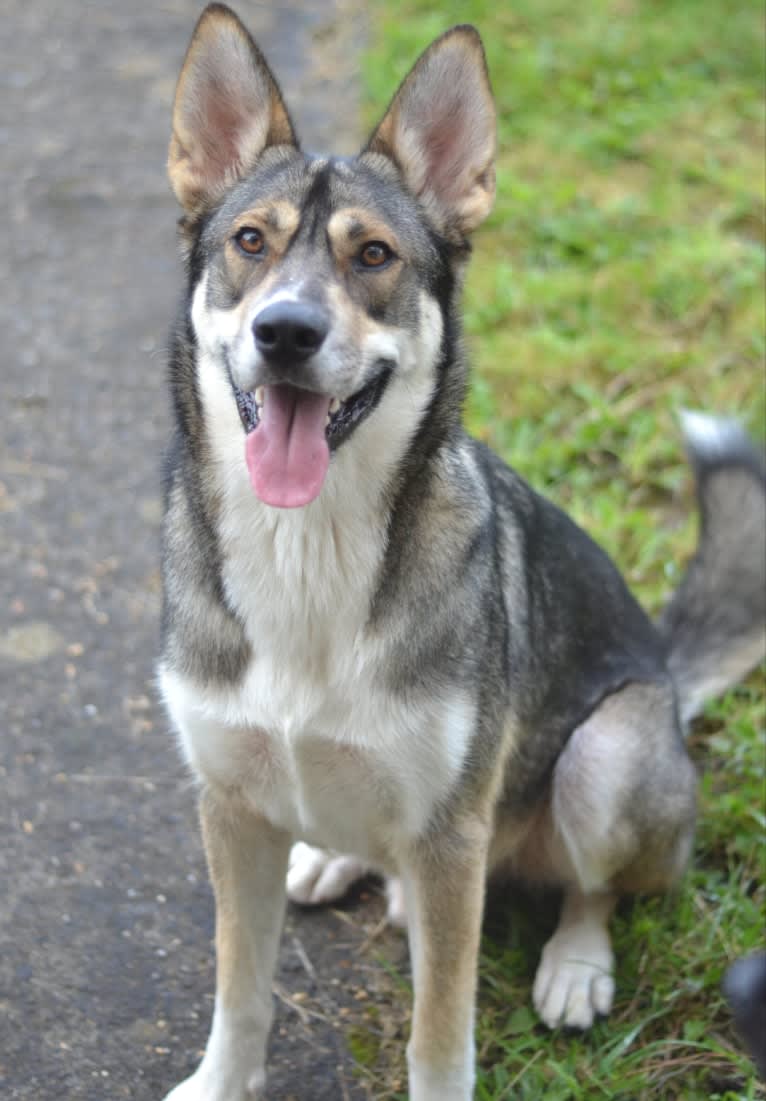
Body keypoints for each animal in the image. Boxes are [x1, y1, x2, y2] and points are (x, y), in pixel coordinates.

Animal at [157, 4, 766, 1096]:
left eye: (373, 256)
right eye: (250, 241)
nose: (284, 332)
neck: (308, 547)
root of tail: (666, 673)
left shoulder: (451, 841)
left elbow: (439, 1035)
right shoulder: (228, 807)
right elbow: (241, 989)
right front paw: (220, 1083)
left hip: (605, 757)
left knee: (594, 887)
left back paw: (574, 963)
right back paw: (336, 857)